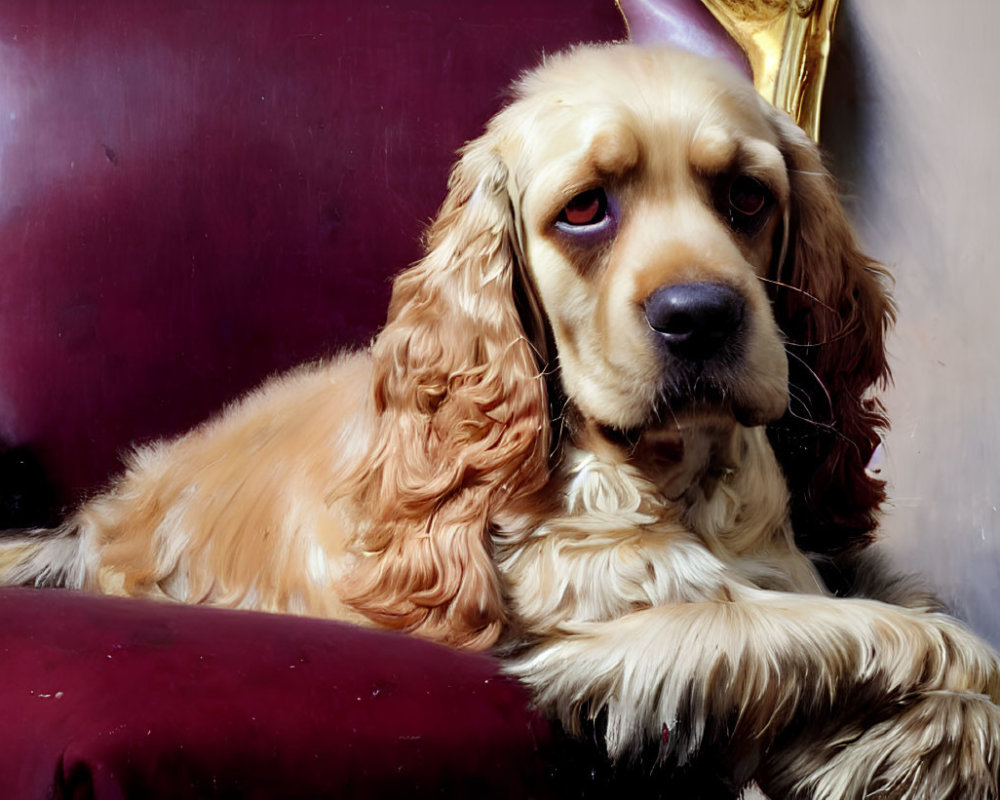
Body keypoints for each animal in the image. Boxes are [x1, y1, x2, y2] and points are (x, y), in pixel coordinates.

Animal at [1, 45, 1000, 800]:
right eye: (586, 208)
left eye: (748, 197)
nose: (702, 316)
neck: (677, 477)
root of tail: (92, 522)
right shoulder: (602, 632)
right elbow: (927, 642)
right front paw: (904, 749)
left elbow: (920, 627)